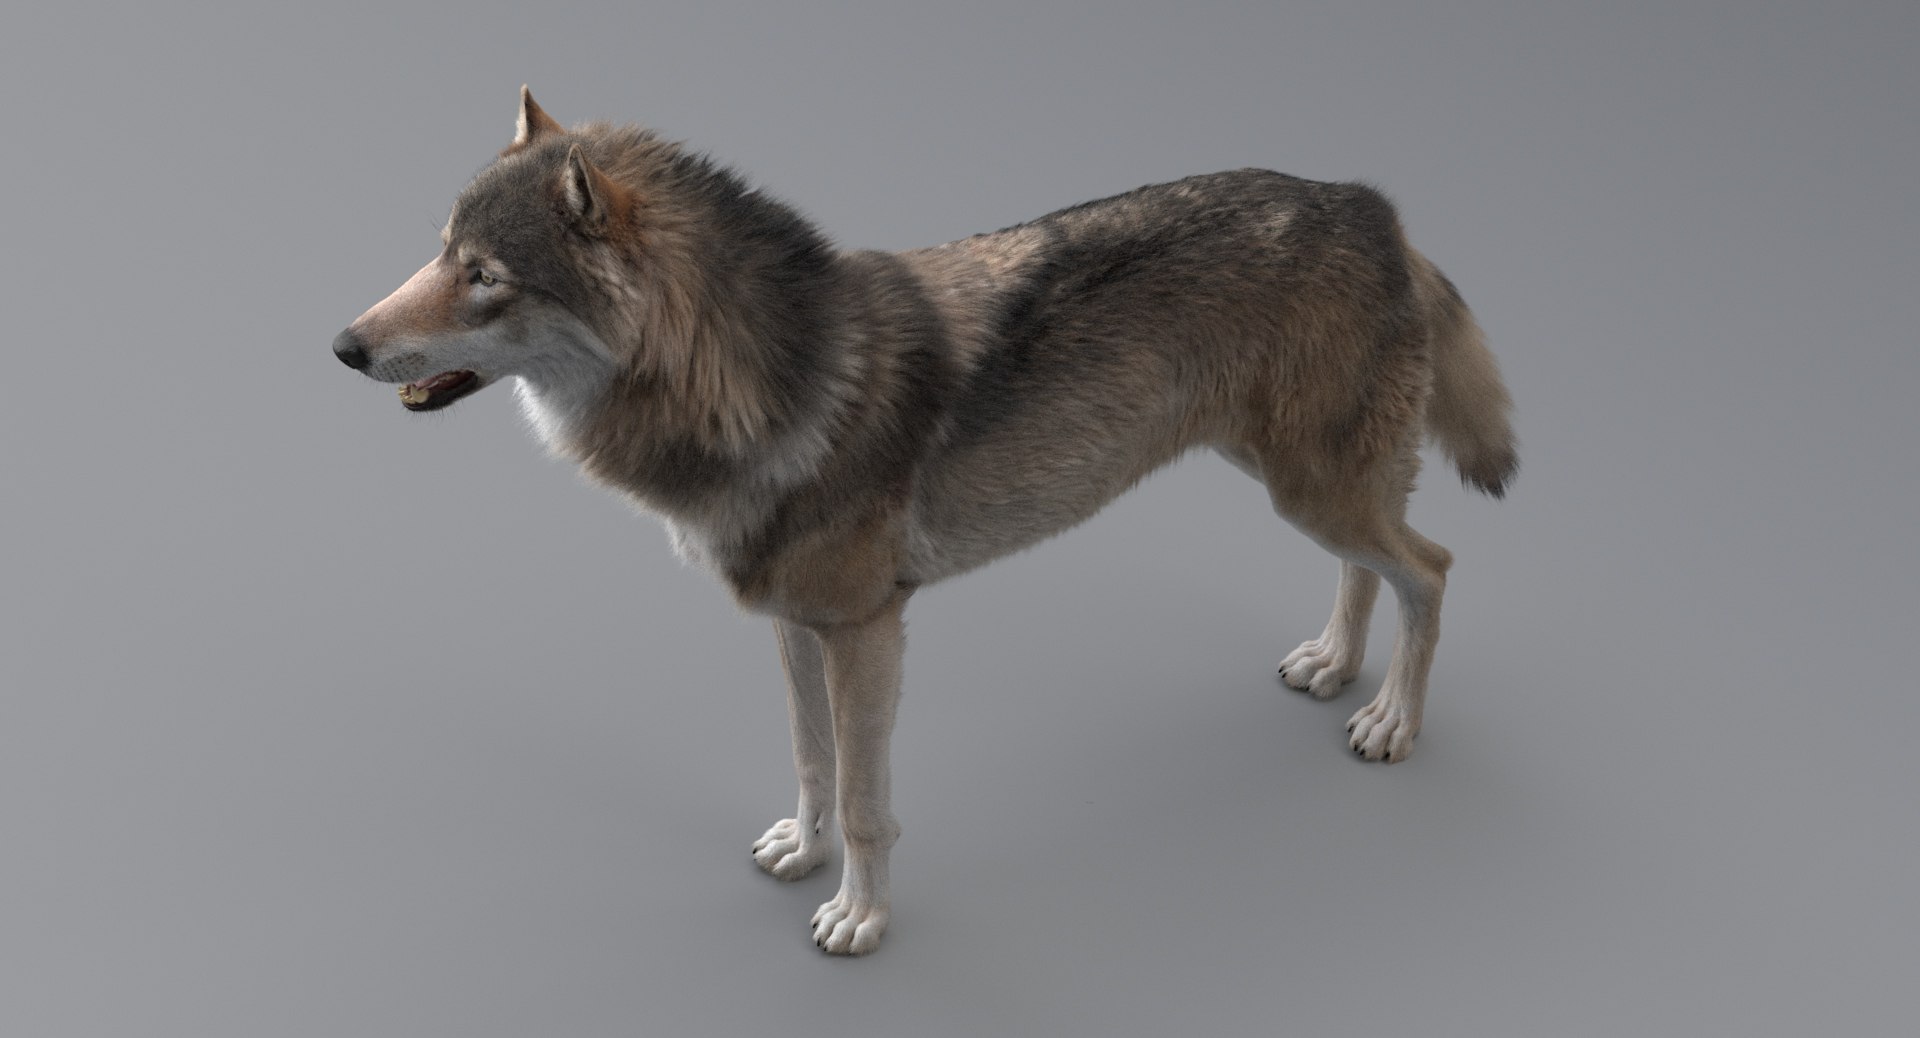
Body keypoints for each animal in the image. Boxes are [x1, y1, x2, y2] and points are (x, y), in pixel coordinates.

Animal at [333, 88, 1517, 955]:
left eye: (484, 276)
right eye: (439, 252)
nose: (343, 345)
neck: (764, 381)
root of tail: (1371, 203)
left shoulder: (868, 631)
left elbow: (866, 796)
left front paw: (859, 915)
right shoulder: (794, 625)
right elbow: (811, 764)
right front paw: (801, 853)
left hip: (1311, 488)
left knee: (1435, 567)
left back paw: (1390, 722)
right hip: (1297, 483)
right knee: (1376, 568)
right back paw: (1332, 666)